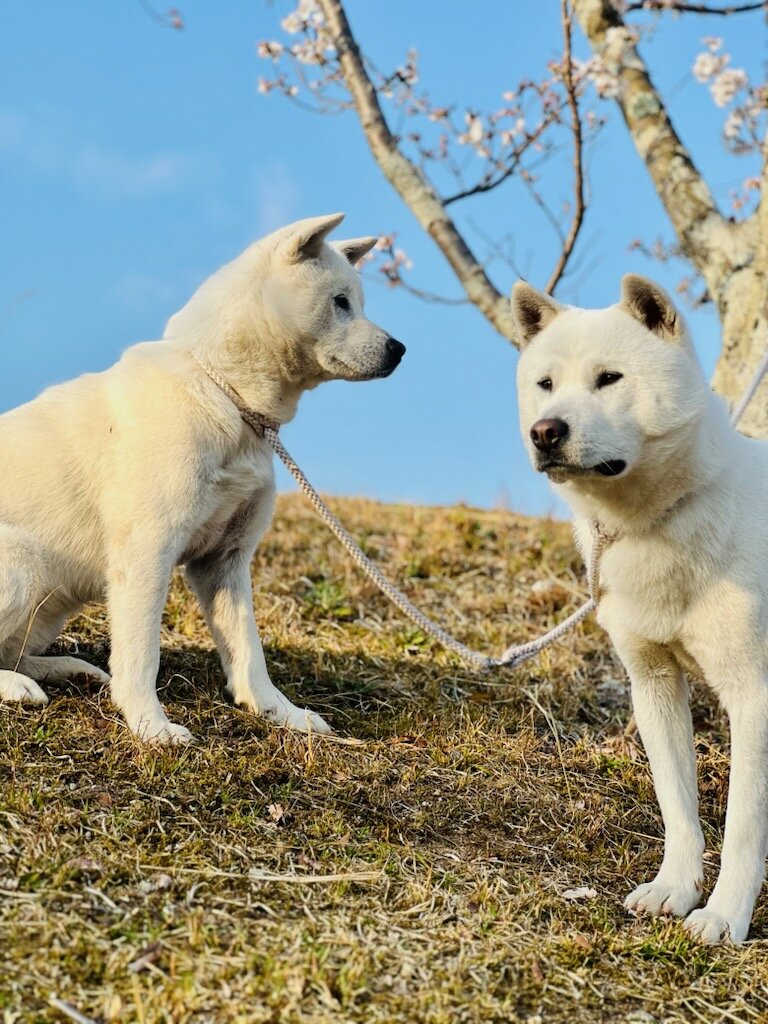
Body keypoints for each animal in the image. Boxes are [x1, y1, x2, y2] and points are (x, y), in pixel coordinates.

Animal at [0, 214, 405, 745]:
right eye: (341, 302)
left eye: (358, 302)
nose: (400, 350)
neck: (225, 394)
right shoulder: (147, 554)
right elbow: (142, 657)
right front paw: (150, 727)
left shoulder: (225, 561)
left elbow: (250, 656)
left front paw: (283, 715)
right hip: (22, 566)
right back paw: (18, 686)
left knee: (14, 651)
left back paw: (66, 670)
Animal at [514, 276, 768, 946]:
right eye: (545, 384)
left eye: (609, 379)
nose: (545, 431)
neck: (661, 520)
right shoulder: (652, 681)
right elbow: (679, 807)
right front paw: (674, 890)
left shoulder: (754, 697)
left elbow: (743, 825)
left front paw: (725, 917)